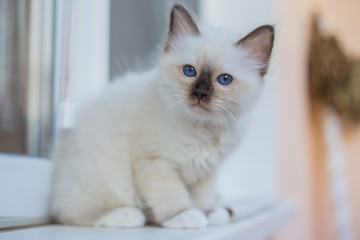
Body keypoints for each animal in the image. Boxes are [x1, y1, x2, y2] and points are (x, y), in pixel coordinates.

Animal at [50, 4, 274, 229]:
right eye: (189, 71)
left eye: (225, 79)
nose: (200, 93)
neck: (203, 128)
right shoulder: (156, 162)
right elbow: (170, 195)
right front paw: (187, 216)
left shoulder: (206, 172)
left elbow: (203, 197)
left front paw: (209, 214)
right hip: (108, 176)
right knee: (69, 214)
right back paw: (127, 215)